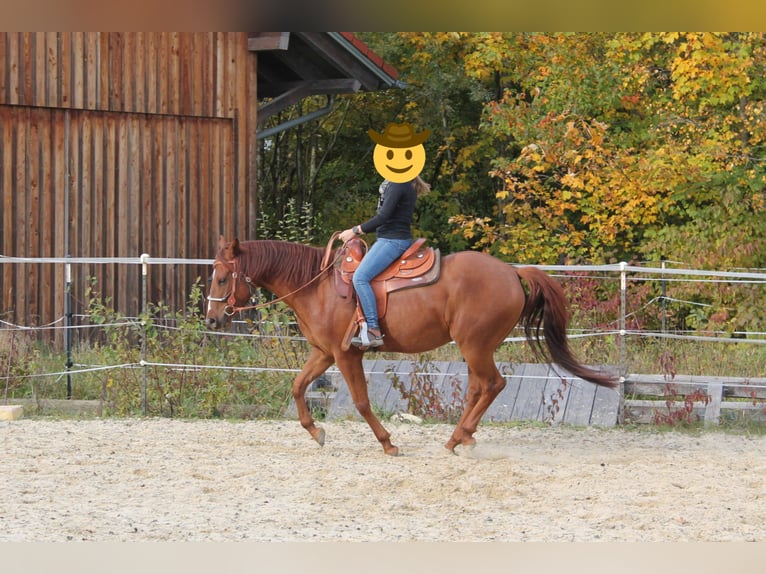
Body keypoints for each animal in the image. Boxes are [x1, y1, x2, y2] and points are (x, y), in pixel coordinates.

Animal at [205, 236, 618, 456]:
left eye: (223, 278)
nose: (211, 319)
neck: (317, 286)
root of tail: (511, 271)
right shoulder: (323, 353)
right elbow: (297, 386)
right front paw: (316, 431)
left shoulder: (345, 354)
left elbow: (360, 402)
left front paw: (388, 443)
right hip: (475, 349)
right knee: (478, 389)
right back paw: (461, 436)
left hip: (475, 345)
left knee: (493, 385)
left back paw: (457, 437)